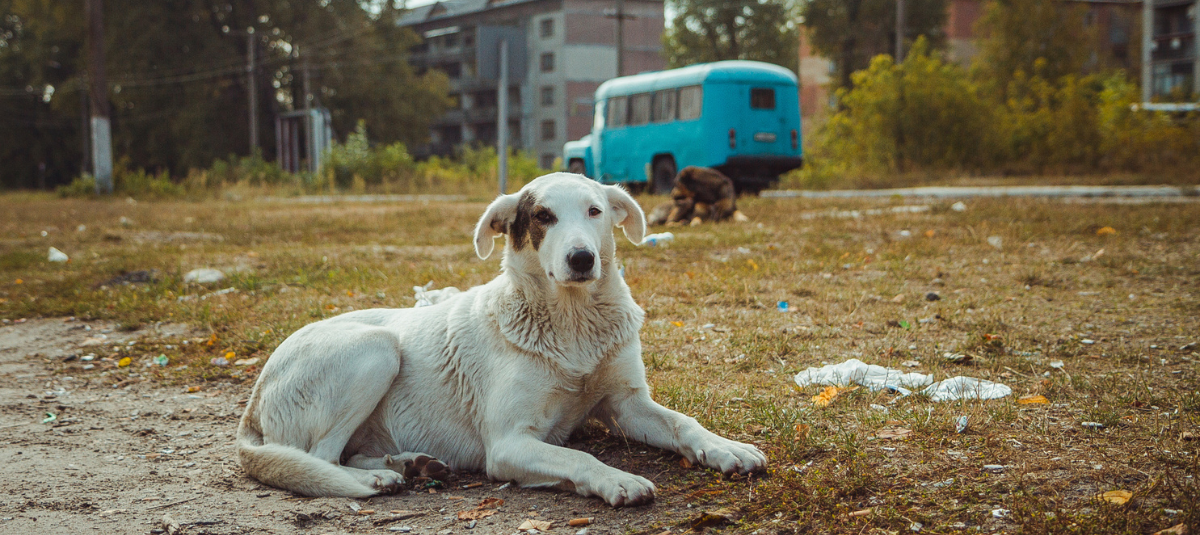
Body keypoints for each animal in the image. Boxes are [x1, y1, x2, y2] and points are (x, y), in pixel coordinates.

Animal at [236, 172, 766, 506]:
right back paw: (378, 477)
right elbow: (577, 454)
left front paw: (726, 448)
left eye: (595, 211)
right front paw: (617, 479)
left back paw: (410, 464)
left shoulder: (628, 403)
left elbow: (683, 423)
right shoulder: (510, 443)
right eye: (543, 217)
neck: (572, 323)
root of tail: (254, 400)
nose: (581, 259)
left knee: (346, 452)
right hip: (376, 349)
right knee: (320, 458)